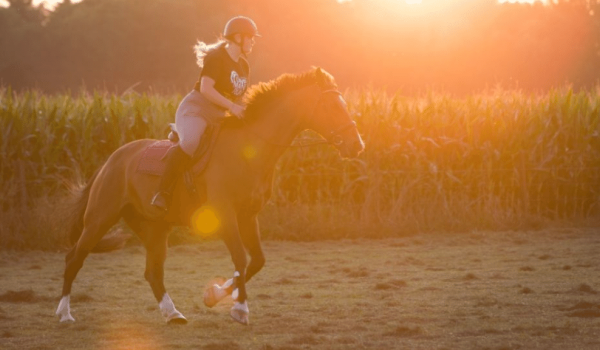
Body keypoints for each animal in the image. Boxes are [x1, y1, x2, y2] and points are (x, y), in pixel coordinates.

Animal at [56, 67, 366, 326]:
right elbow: (241, 259)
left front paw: (215, 295)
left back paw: (173, 314)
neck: (249, 149)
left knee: (153, 271)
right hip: (100, 218)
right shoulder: (225, 214)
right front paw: (240, 309)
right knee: (74, 258)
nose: (357, 145)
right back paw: (64, 314)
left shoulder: (248, 215)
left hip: (156, 228)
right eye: (330, 106)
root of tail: (111, 161)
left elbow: (256, 261)